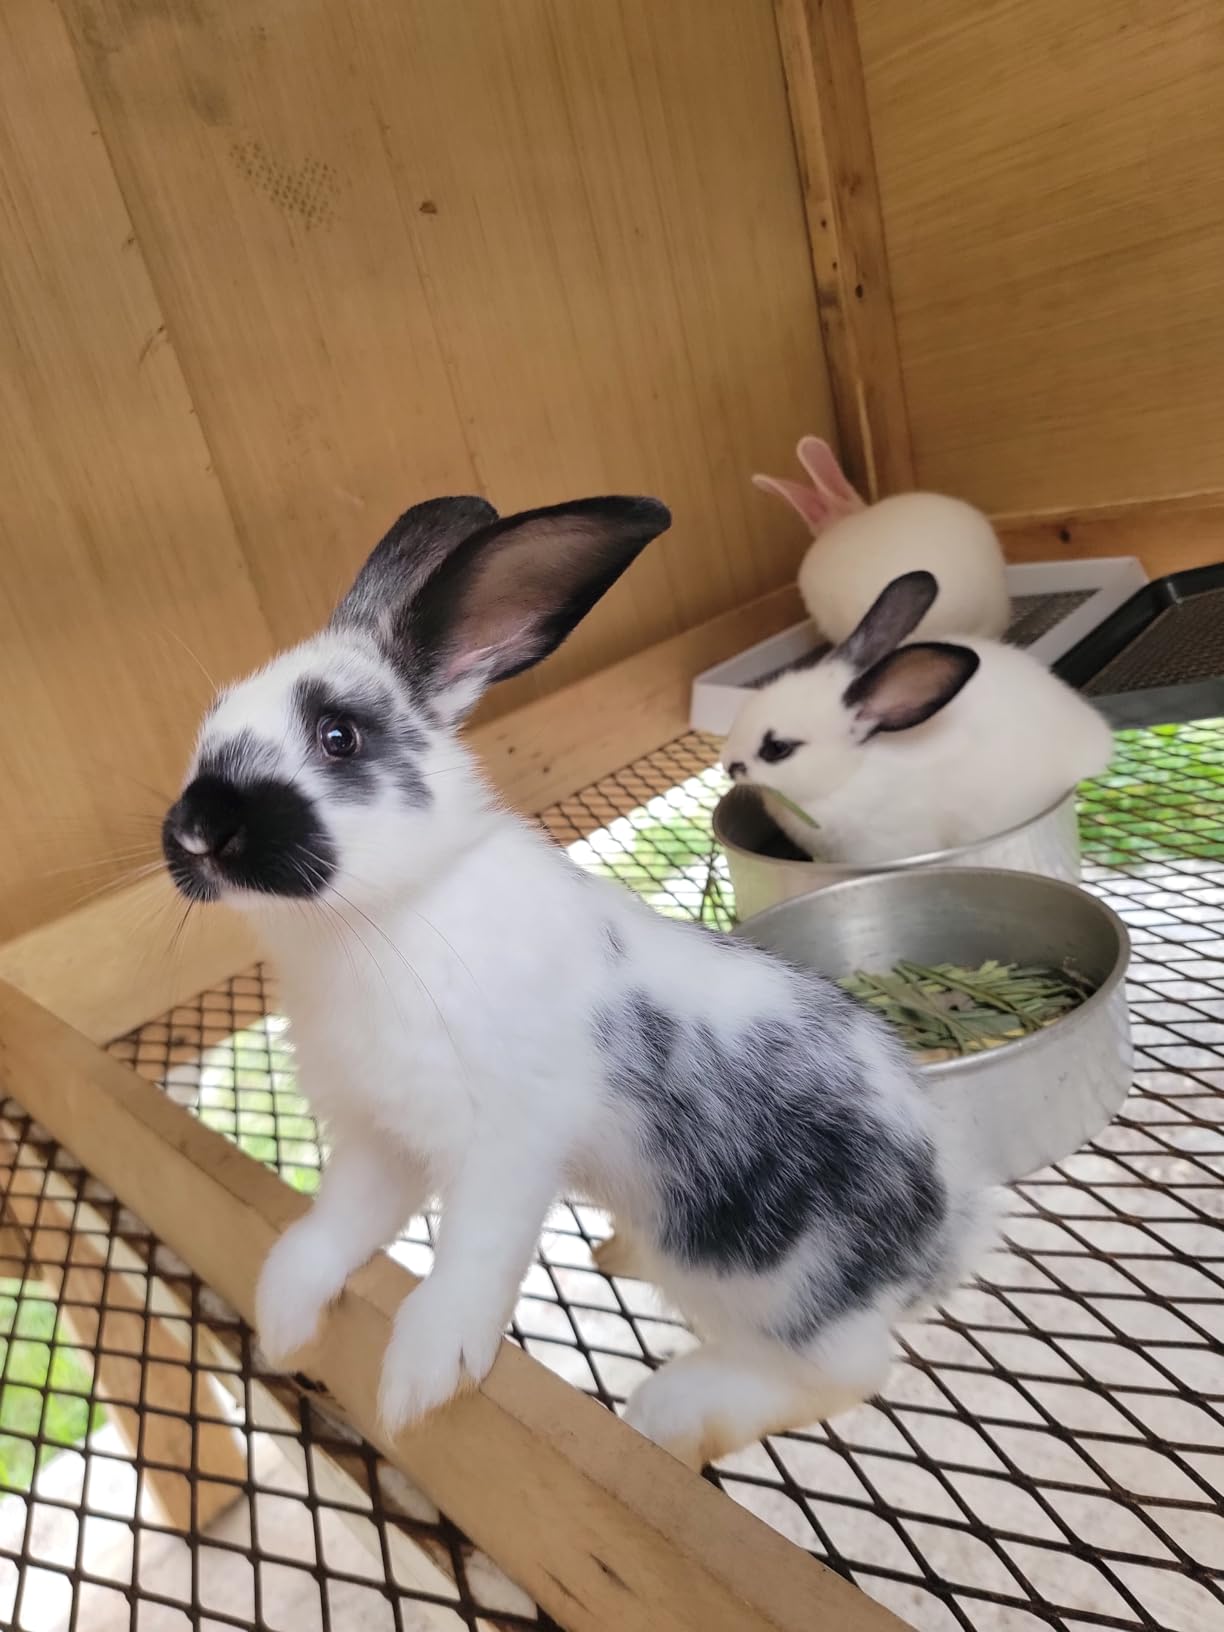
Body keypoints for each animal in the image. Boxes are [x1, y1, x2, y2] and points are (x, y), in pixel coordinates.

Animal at [162, 492, 990, 1470]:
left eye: (338, 736)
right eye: (208, 726)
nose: (196, 827)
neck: (382, 917)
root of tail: (950, 1230)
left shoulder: (507, 1142)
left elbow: (471, 1259)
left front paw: (420, 1378)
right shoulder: (378, 1136)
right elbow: (337, 1225)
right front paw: (285, 1318)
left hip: (757, 1266)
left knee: (848, 1371)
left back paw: (671, 1411)